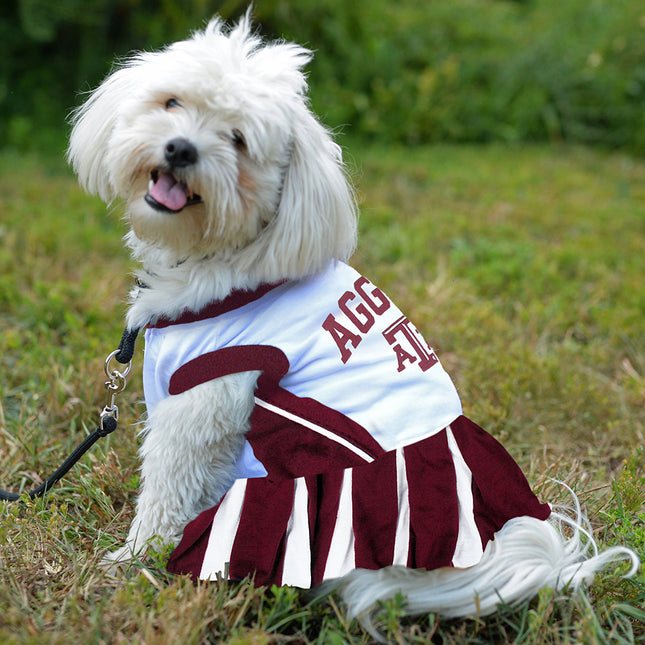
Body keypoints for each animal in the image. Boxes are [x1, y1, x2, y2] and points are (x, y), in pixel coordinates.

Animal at [66, 15, 640, 628]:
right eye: (172, 103)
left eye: (238, 139)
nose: (179, 148)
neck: (225, 253)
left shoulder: (202, 403)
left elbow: (166, 491)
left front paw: (132, 559)